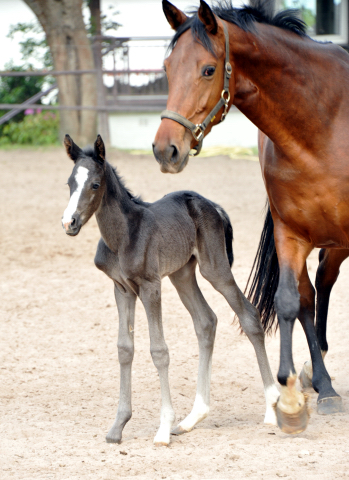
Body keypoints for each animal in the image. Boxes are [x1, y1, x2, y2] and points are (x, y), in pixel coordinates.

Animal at [60, 133, 278, 444]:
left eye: (95, 184)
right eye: (69, 183)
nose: (69, 223)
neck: (123, 236)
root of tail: (211, 205)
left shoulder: (150, 286)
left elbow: (159, 350)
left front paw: (163, 427)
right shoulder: (122, 289)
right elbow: (124, 348)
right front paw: (118, 426)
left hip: (215, 270)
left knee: (248, 315)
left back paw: (272, 408)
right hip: (181, 274)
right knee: (206, 321)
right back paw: (192, 418)